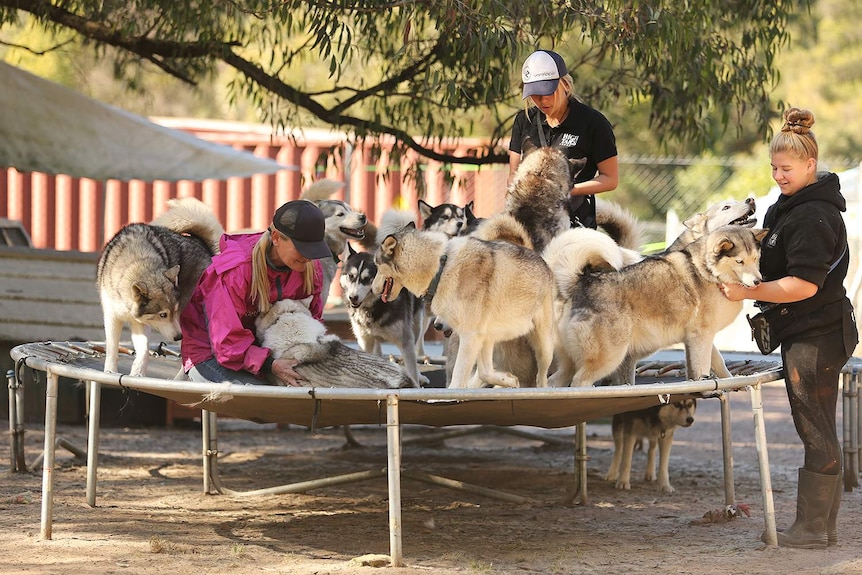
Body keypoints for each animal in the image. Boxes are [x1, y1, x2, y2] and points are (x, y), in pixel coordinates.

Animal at [96, 198, 224, 378]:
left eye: (174, 311)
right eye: (163, 314)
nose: (178, 337)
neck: (136, 263)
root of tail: (204, 246)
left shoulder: (143, 323)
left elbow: (143, 351)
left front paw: (138, 372)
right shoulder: (114, 318)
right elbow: (113, 348)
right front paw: (111, 371)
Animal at [340, 244, 428, 388]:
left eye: (367, 279)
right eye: (351, 276)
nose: (352, 297)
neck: (375, 305)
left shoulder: (406, 341)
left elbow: (412, 369)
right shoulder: (364, 340)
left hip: (417, 326)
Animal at [372, 223, 552, 390]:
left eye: (376, 265)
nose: (373, 289)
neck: (440, 267)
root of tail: (541, 260)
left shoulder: (469, 337)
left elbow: (458, 380)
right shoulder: (478, 338)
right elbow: (484, 373)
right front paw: (509, 380)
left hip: (543, 347)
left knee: (541, 377)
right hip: (490, 339)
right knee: (486, 371)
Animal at [548, 225, 768, 388]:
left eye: (756, 259)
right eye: (739, 261)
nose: (759, 282)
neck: (708, 271)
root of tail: (579, 282)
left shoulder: (701, 338)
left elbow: (718, 363)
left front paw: (730, 382)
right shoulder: (701, 336)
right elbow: (704, 368)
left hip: (570, 362)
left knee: (555, 381)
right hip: (609, 357)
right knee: (580, 381)